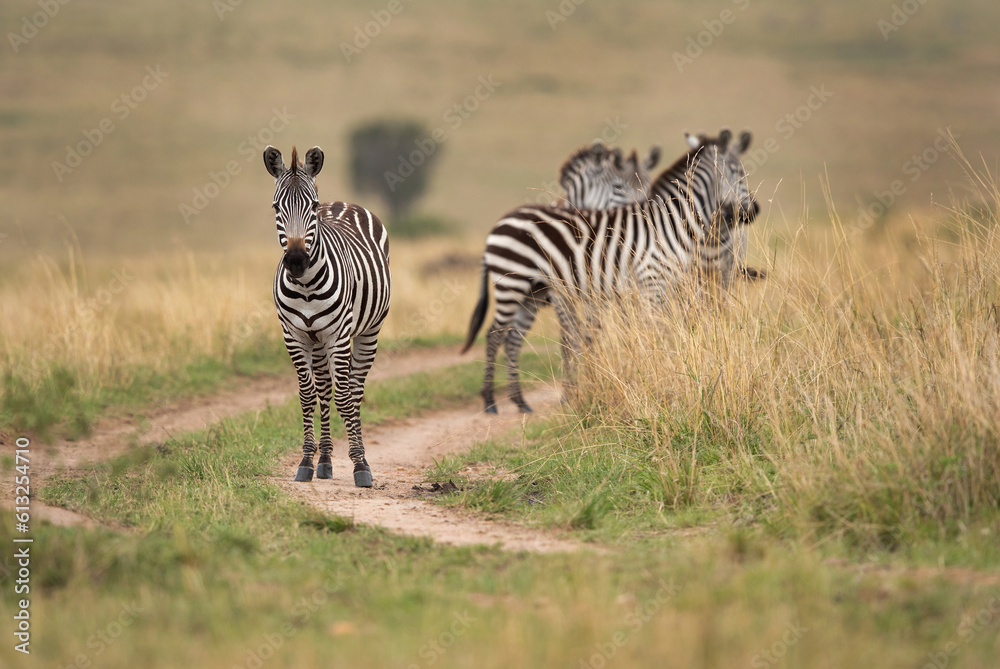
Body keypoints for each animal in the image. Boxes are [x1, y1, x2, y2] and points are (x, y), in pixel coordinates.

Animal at [263, 145, 391, 487]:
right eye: (276, 206)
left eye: (312, 206)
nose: (296, 261)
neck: (306, 285)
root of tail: (342, 202)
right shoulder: (293, 335)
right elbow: (308, 395)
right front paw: (307, 460)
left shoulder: (338, 335)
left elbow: (345, 397)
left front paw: (360, 465)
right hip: (317, 340)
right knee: (324, 389)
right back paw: (325, 460)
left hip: (368, 332)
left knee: (354, 390)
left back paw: (358, 455)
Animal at [461, 129, 760, 414]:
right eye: (738, 172)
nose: (753, 212)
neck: (670, 224)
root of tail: (499, 222)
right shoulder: (650, 281)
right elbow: (649, 333)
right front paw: (657, 378)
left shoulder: (669, 285)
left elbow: (667, 331)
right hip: (511, 283)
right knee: (494, 335)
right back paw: (490, 402)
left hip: (531, 293)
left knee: (512, 339)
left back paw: (520, 401)